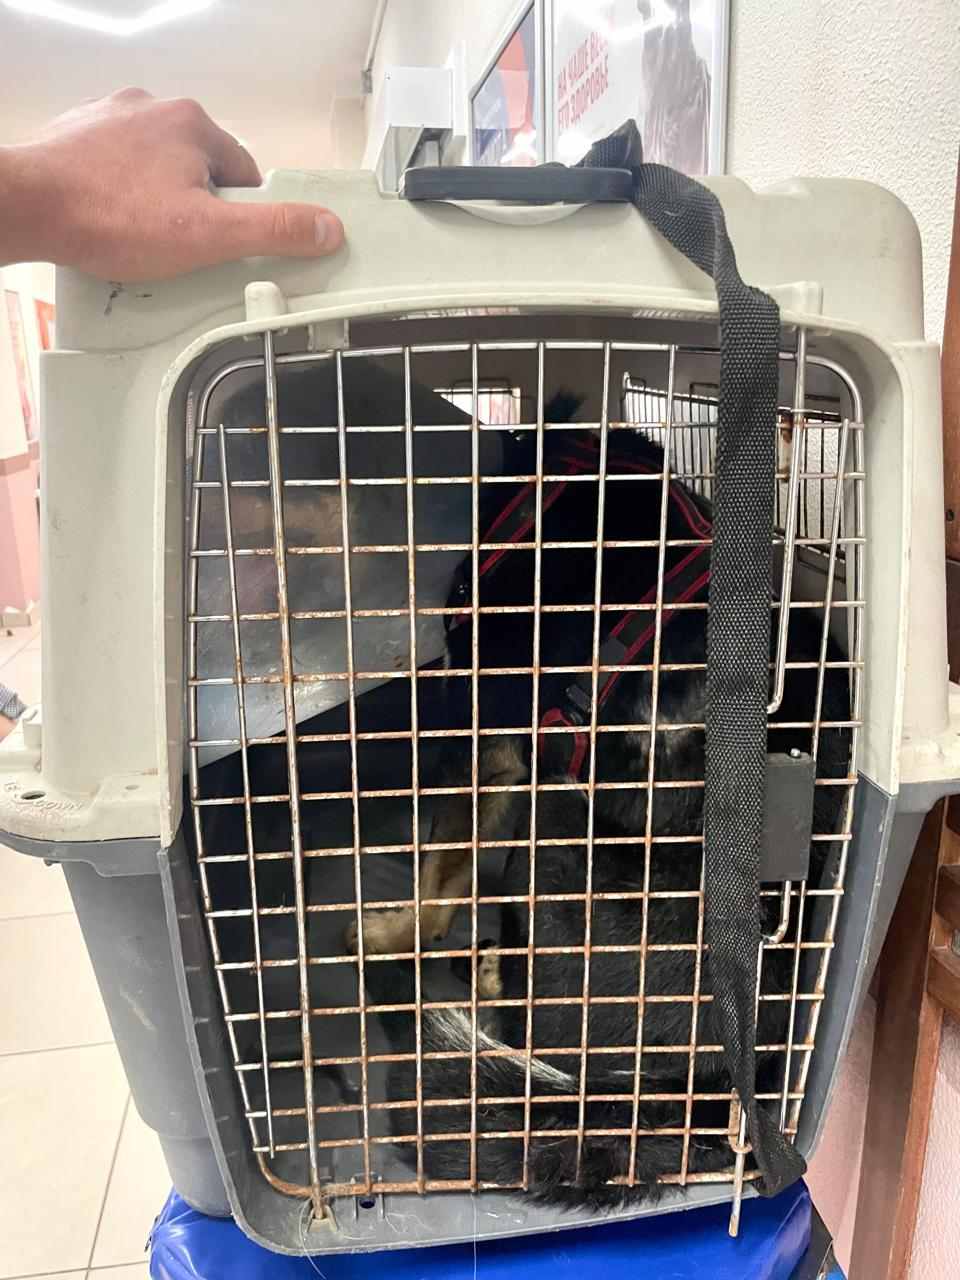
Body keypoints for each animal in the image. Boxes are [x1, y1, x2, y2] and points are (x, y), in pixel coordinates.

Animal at [349, 397, 851, 1208]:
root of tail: (700, 1092)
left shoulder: (491, 735)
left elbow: (440, 871)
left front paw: (390, 934)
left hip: (553, 825)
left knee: (527, 1025)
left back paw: (489, 975)